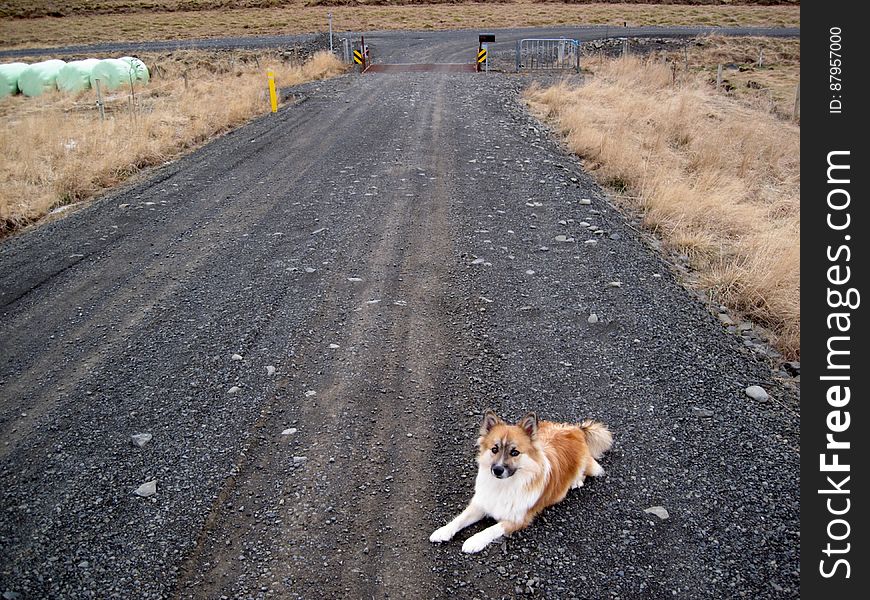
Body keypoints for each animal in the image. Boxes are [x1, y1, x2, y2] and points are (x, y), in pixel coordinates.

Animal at [430, 412, 612, 552]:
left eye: (514, 452)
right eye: (494, 449)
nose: (497, 470)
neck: (504, 485)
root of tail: (576, 429)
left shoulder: (517, 520)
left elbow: (490, 529)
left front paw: (473, 541)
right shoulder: (482, 504)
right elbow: (460, 518)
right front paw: (443, 531)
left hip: (584, 463)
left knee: (587, 470)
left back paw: (576, 482)